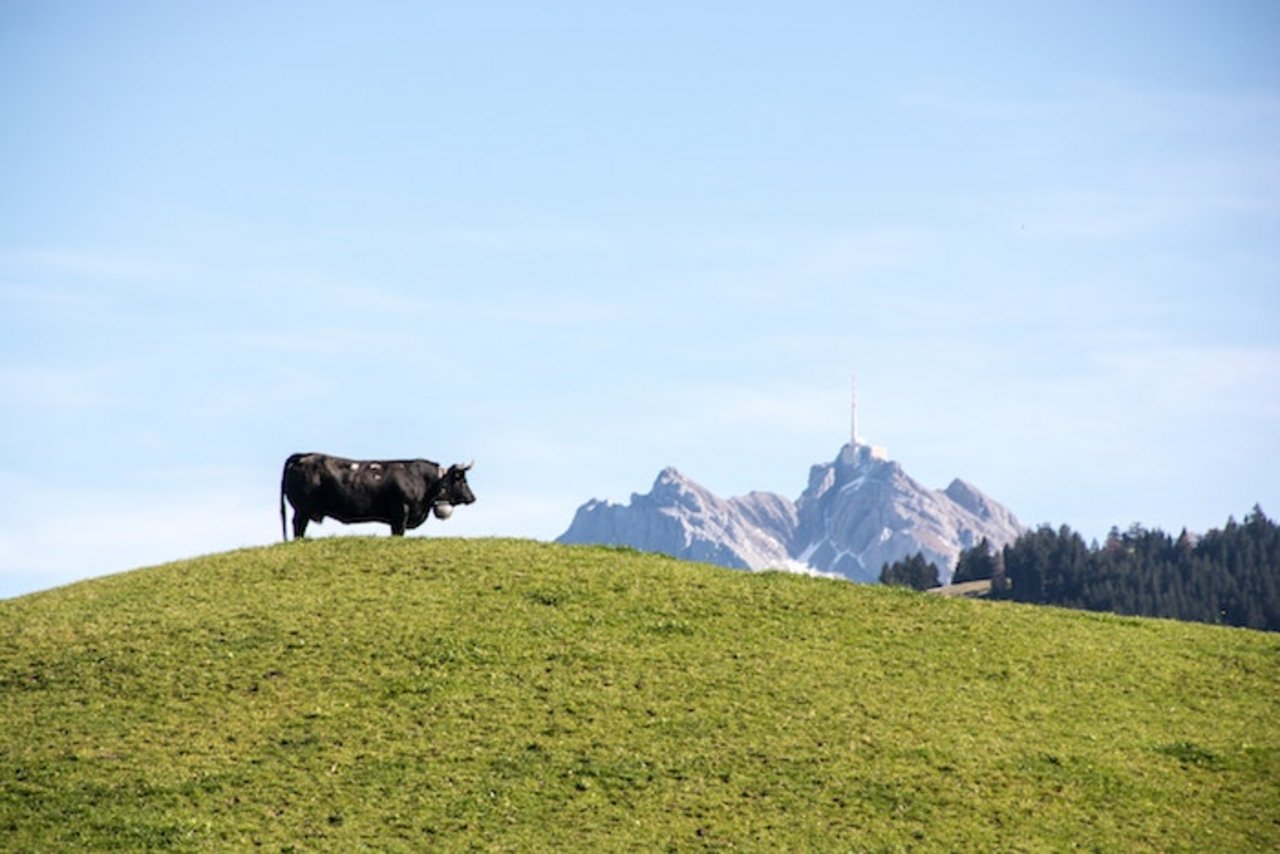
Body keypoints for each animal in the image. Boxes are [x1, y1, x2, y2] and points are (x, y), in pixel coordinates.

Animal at [280, 453, 476, 540]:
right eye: (462, 479)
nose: (472, 498)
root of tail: (304, 456)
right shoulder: (400, 512)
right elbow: (398, 533)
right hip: (302, 509)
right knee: (298, 525)